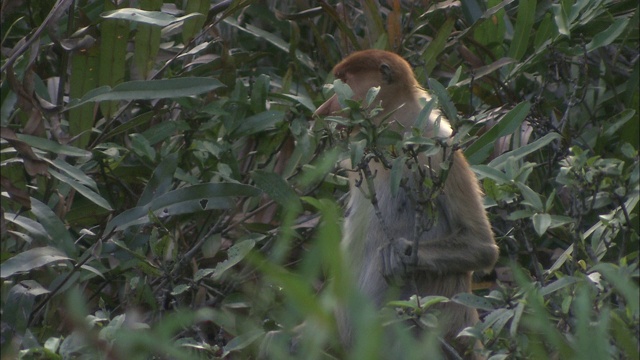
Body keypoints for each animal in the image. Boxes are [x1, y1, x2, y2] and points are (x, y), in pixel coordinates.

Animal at [316, 49, 500, 358]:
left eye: (345, 82)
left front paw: (399, 253)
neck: (396, 129)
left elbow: (481, 245)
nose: (322, 110)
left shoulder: (437, 150)